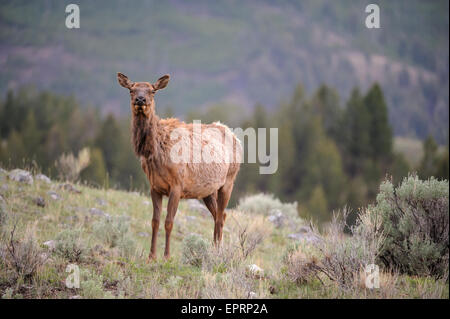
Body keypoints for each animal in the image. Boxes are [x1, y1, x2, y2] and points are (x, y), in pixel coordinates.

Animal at [118, 72, 241, 260]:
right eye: (131, 90)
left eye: (152, 91)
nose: (140, 99)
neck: (156, 154)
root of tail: (235, 136)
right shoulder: (154, 187)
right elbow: (154, 221)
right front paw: (151, 256)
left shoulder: (177, 185)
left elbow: (169, 222)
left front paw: (167, 256)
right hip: (208, 190)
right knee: (220, 215)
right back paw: (214, 250)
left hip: (228, 181)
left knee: (220, 216)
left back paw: (217, 253)